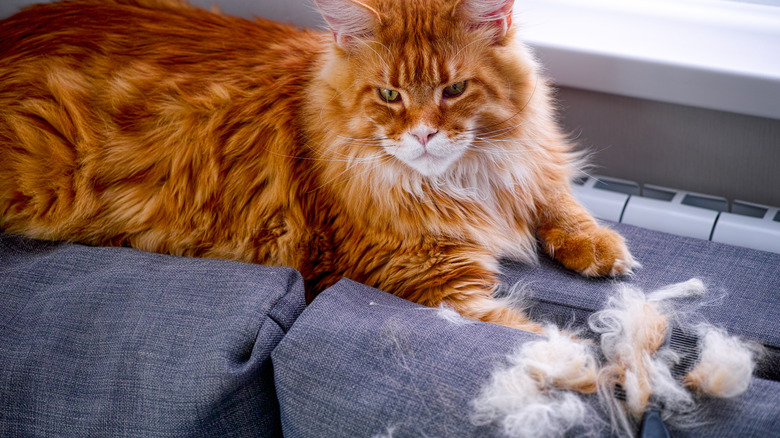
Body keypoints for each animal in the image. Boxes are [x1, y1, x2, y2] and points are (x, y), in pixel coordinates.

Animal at [0, 0, 640, 332]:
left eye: (455, 89)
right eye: (388, 96)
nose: (425, 134)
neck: (461, 180)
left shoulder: (526, 169)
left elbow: (558, 202)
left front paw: (602, 249)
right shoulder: (434, 281)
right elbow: (533, 343)